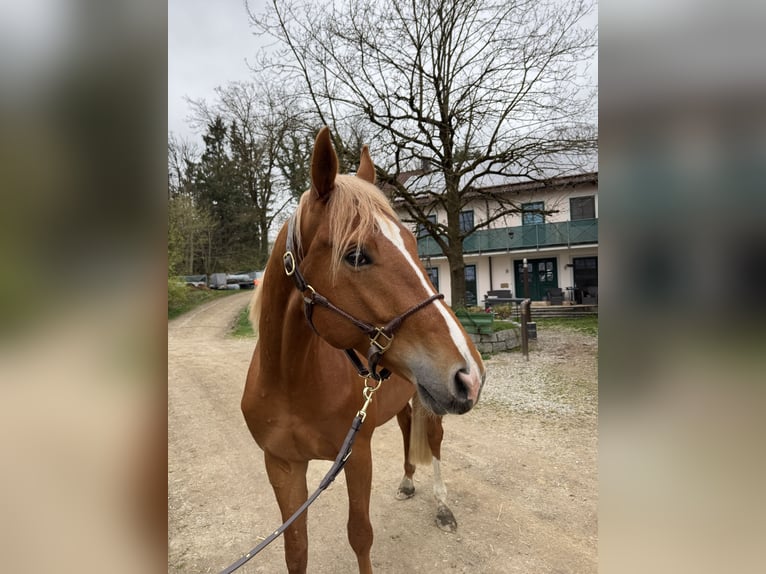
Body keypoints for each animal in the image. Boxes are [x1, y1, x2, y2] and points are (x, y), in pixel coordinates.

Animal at [241, 127, 486, 573]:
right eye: (356, 255)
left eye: (412, 244)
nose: (469, 374)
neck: (290, 382)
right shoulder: (282, 464)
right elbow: (296, 548)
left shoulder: (356, 456)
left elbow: (360, 535)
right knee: (407, 429)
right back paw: (406, 482)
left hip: (429, 406)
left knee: (435, 442)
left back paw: (443, 507)